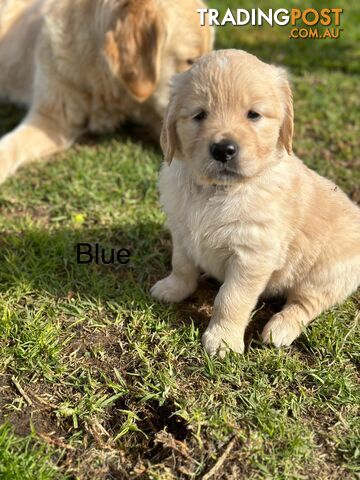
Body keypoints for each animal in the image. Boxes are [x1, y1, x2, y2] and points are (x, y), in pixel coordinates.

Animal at [151, 49, 360, 356]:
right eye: (199, 115)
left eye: (253, 115)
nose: (223, 149)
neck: (216, 191)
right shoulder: (181, 231)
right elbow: (182, 265)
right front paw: (173, 288)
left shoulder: (252, 255)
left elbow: (230, 298)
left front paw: (223, 339)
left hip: (325, 274)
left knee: (305, 304)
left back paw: (280, 328)